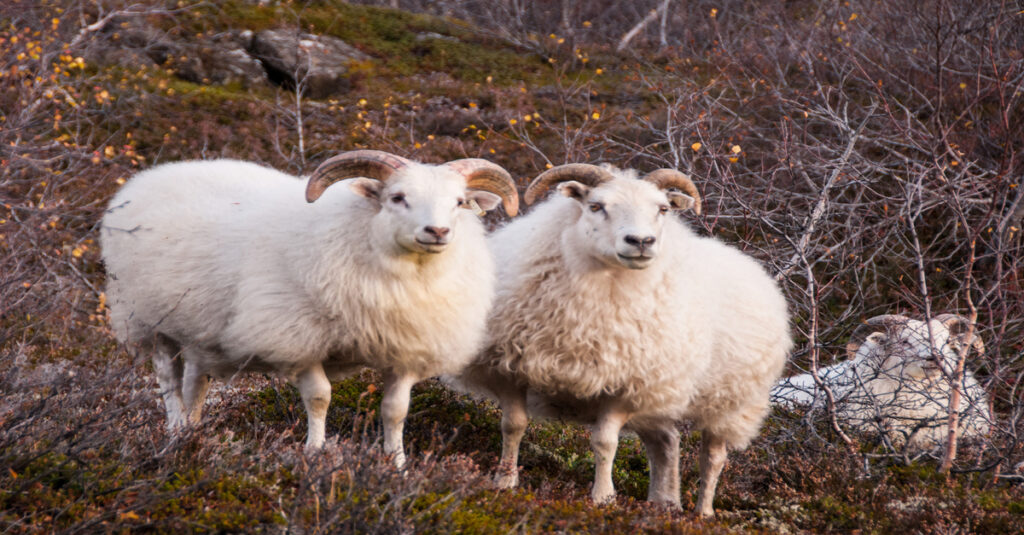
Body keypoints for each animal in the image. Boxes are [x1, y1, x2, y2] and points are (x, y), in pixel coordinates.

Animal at [100, 150, 519, 466]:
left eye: (460, 202)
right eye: (397, 197)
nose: (438, 232)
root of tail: (154, 174)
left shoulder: (404, 349)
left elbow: (396, 409)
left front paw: (397, 463)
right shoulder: (298, 338)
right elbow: (320, 397)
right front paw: (315, 451)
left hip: (198, 330)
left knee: (196, 382)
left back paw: (193, 430)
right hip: (149, 318)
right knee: (168, 380)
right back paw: (175, 432)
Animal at [455, 163, 793, 516]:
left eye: (662, 209)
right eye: (595, 206)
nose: (641, 241)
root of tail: (752, 265)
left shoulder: (623, 385)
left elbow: (605, 442)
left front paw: (602, 498)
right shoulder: (509, 368)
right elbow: (513, 425)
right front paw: (504, 482)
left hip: (730, 402)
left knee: (713, 457)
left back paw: (702, 513)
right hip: (661, 398)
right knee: (666, 443)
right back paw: (664, 504)